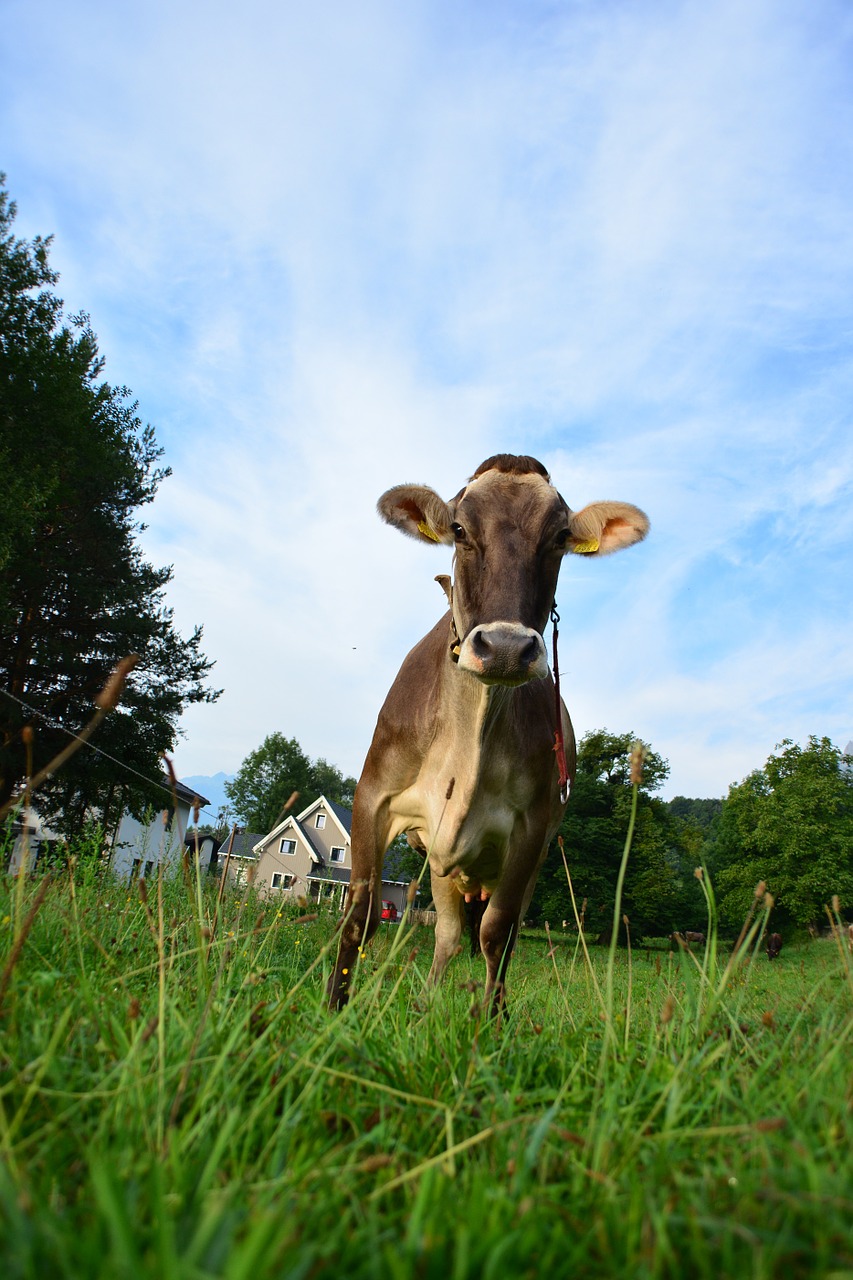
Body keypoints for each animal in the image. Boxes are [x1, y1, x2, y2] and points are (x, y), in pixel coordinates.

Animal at [327, 455, 648, 1013]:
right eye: (459, 529)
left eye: (560, 536)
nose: (504, 648)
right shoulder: (375, 796)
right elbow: (360, 916)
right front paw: (332, 1011)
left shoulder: (531, 828)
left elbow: (497, 934)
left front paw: (491, 1023)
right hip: (441, 867)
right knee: (448, 936)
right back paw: (425, 1003)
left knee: (494, 933)